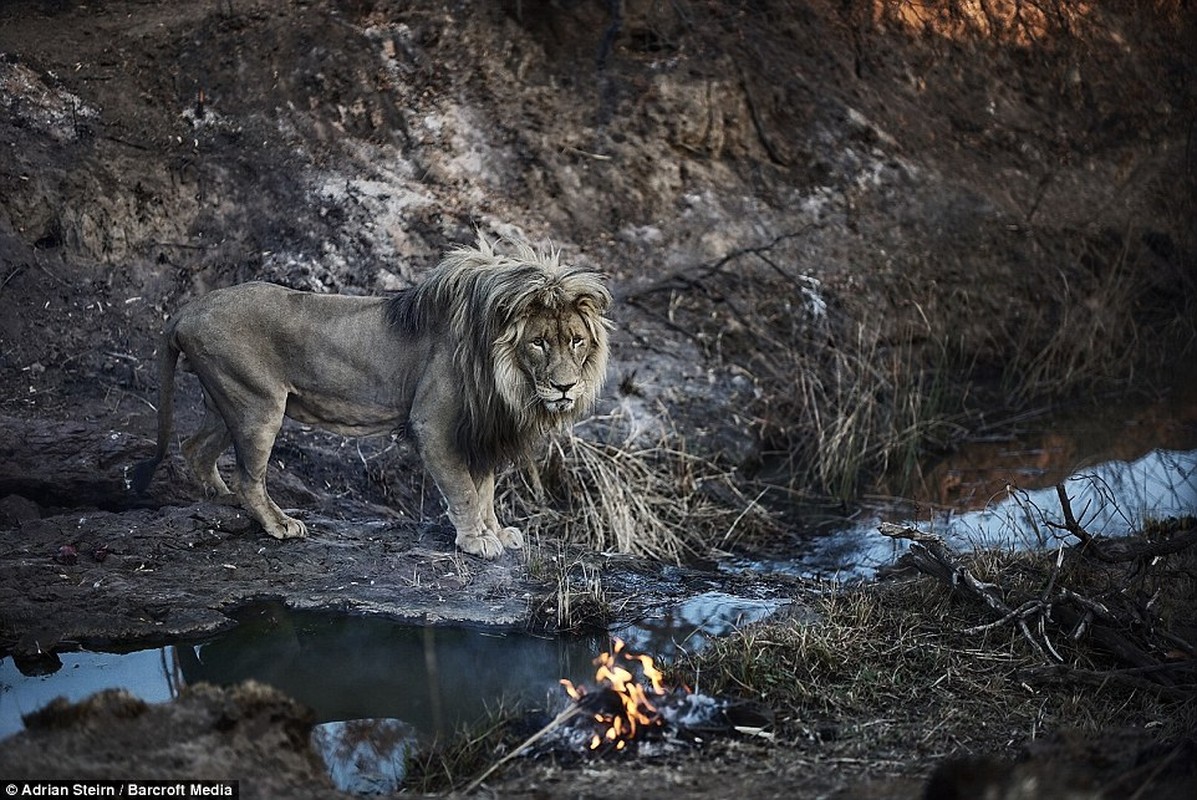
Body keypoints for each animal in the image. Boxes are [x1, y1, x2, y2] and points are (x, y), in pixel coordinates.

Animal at [131, 234, 612, 560]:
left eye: (575, 341)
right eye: (539, 343)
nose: (566, 386)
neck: (504, 375)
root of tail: (188, 309)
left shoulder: (480, 429)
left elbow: (486, 490)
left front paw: (498, 532)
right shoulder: (434, 425)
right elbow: (464, 490)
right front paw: (477, 540)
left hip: (225, 400)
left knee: (196, 449)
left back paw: (220, 498)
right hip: (258, 405)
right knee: (249, 478)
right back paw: (279, 523)